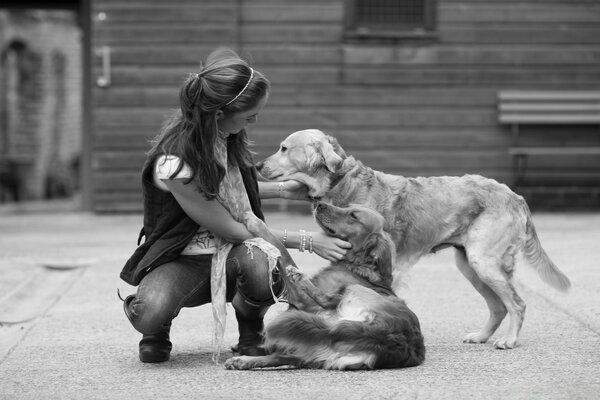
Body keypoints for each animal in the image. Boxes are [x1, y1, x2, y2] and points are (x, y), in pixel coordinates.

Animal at [225, 203, 426, 372]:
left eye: (353, 215)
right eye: (349, 206)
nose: (319, 204)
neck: (358, 264)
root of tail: (387, 336)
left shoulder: (302, 300)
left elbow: (279, 246)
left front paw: (254, 221)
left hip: (350, 291)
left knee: (325, 299)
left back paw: (300, 277)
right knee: (284, 357)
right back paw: (243, 361)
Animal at [256, 129, 572, 350]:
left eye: (284, 148)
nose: (257, 166)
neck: (341, 182)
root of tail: (515, 195)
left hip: (484, 263)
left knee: (517, 304)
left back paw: (509, 340)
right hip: (469, 265)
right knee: (498, 307)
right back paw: (481, 335)